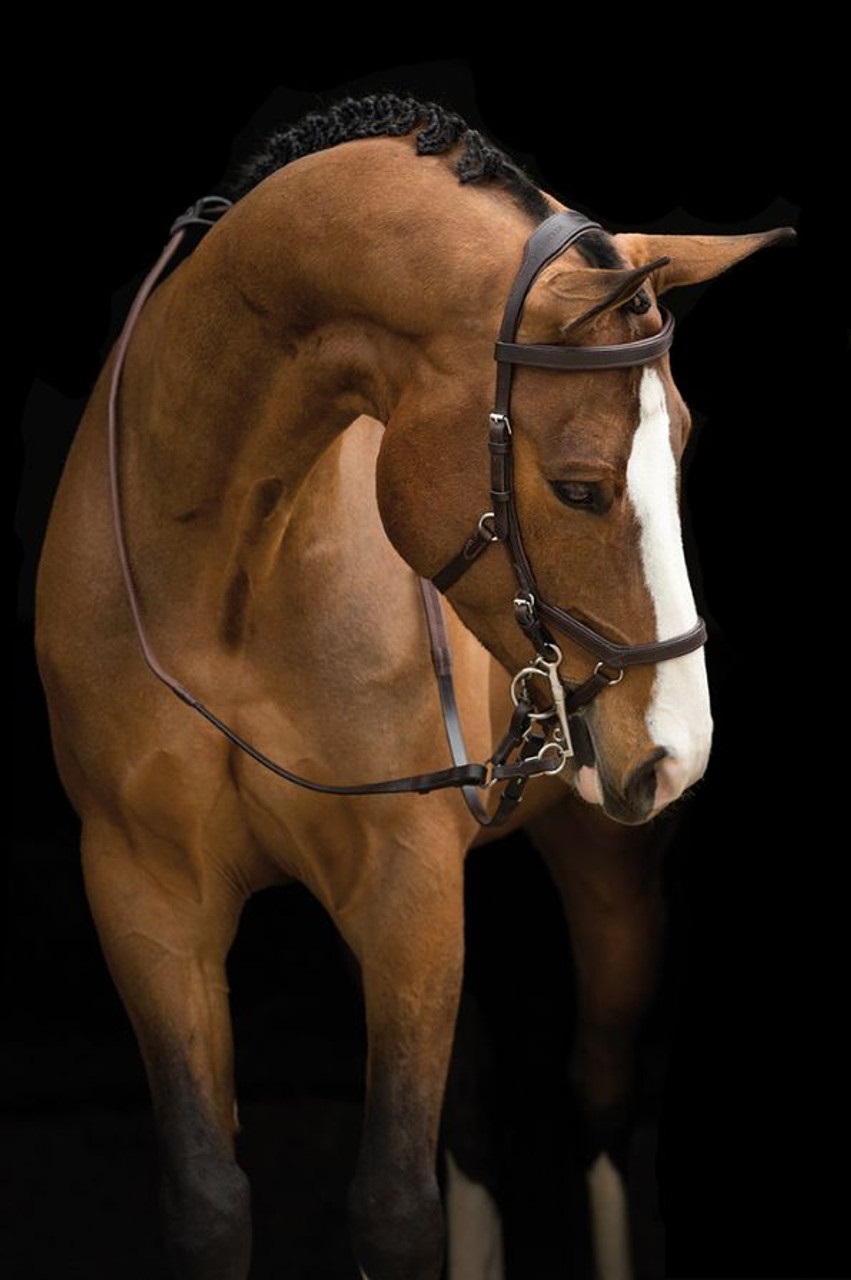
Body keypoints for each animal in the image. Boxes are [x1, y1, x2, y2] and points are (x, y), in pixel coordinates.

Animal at [34, 93, 794, 1280]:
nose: (678, 749)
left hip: (609, 873)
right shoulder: (145, 893)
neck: (213, 574)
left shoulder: (404, 891)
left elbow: (395, 1205)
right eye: (577, 488)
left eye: (681, 450)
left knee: (601, 1097)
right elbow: (209, 1197)